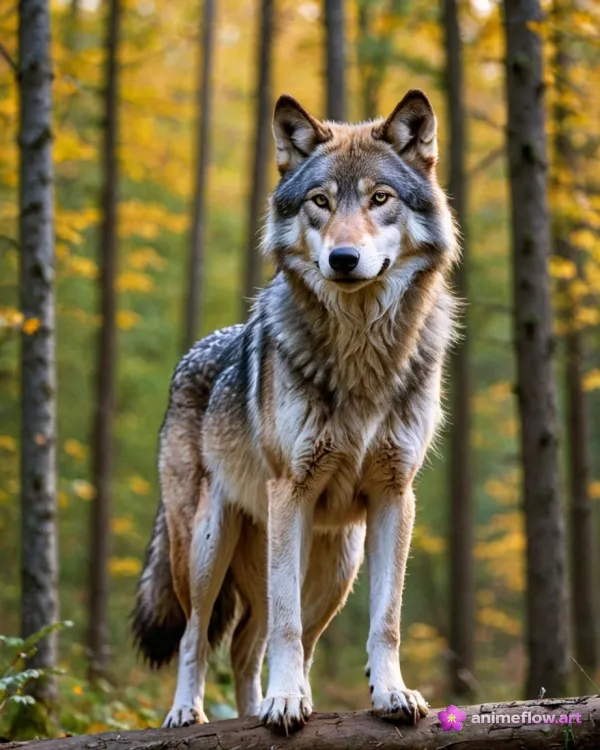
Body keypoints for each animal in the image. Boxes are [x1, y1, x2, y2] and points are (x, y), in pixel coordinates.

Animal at [132, 89, 459, 733]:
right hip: (209, 546)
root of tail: (193, 354)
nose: (343, 258)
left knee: (256, 645)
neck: (361, 356)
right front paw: (285, 702)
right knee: (199, 636)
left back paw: (265, 706)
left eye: (379, 199)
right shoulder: (292, 491)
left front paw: (391, 695)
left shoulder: (395, 495)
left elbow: (386, 621)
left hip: (335, 566)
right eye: (320, 202)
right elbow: (279, 626)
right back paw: (192, 712)